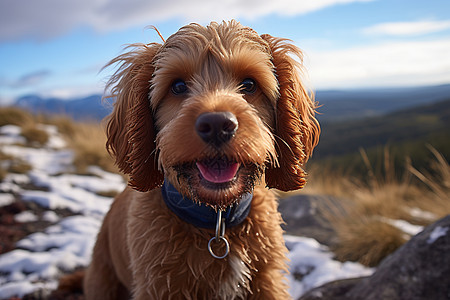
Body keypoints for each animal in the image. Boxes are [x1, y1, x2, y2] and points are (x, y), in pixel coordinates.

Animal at [81, 19, 320, 298]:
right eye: (177, 86)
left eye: (249, 84)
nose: (217, 125)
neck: (217, 224)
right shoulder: (158, 285)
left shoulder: (267, 280)